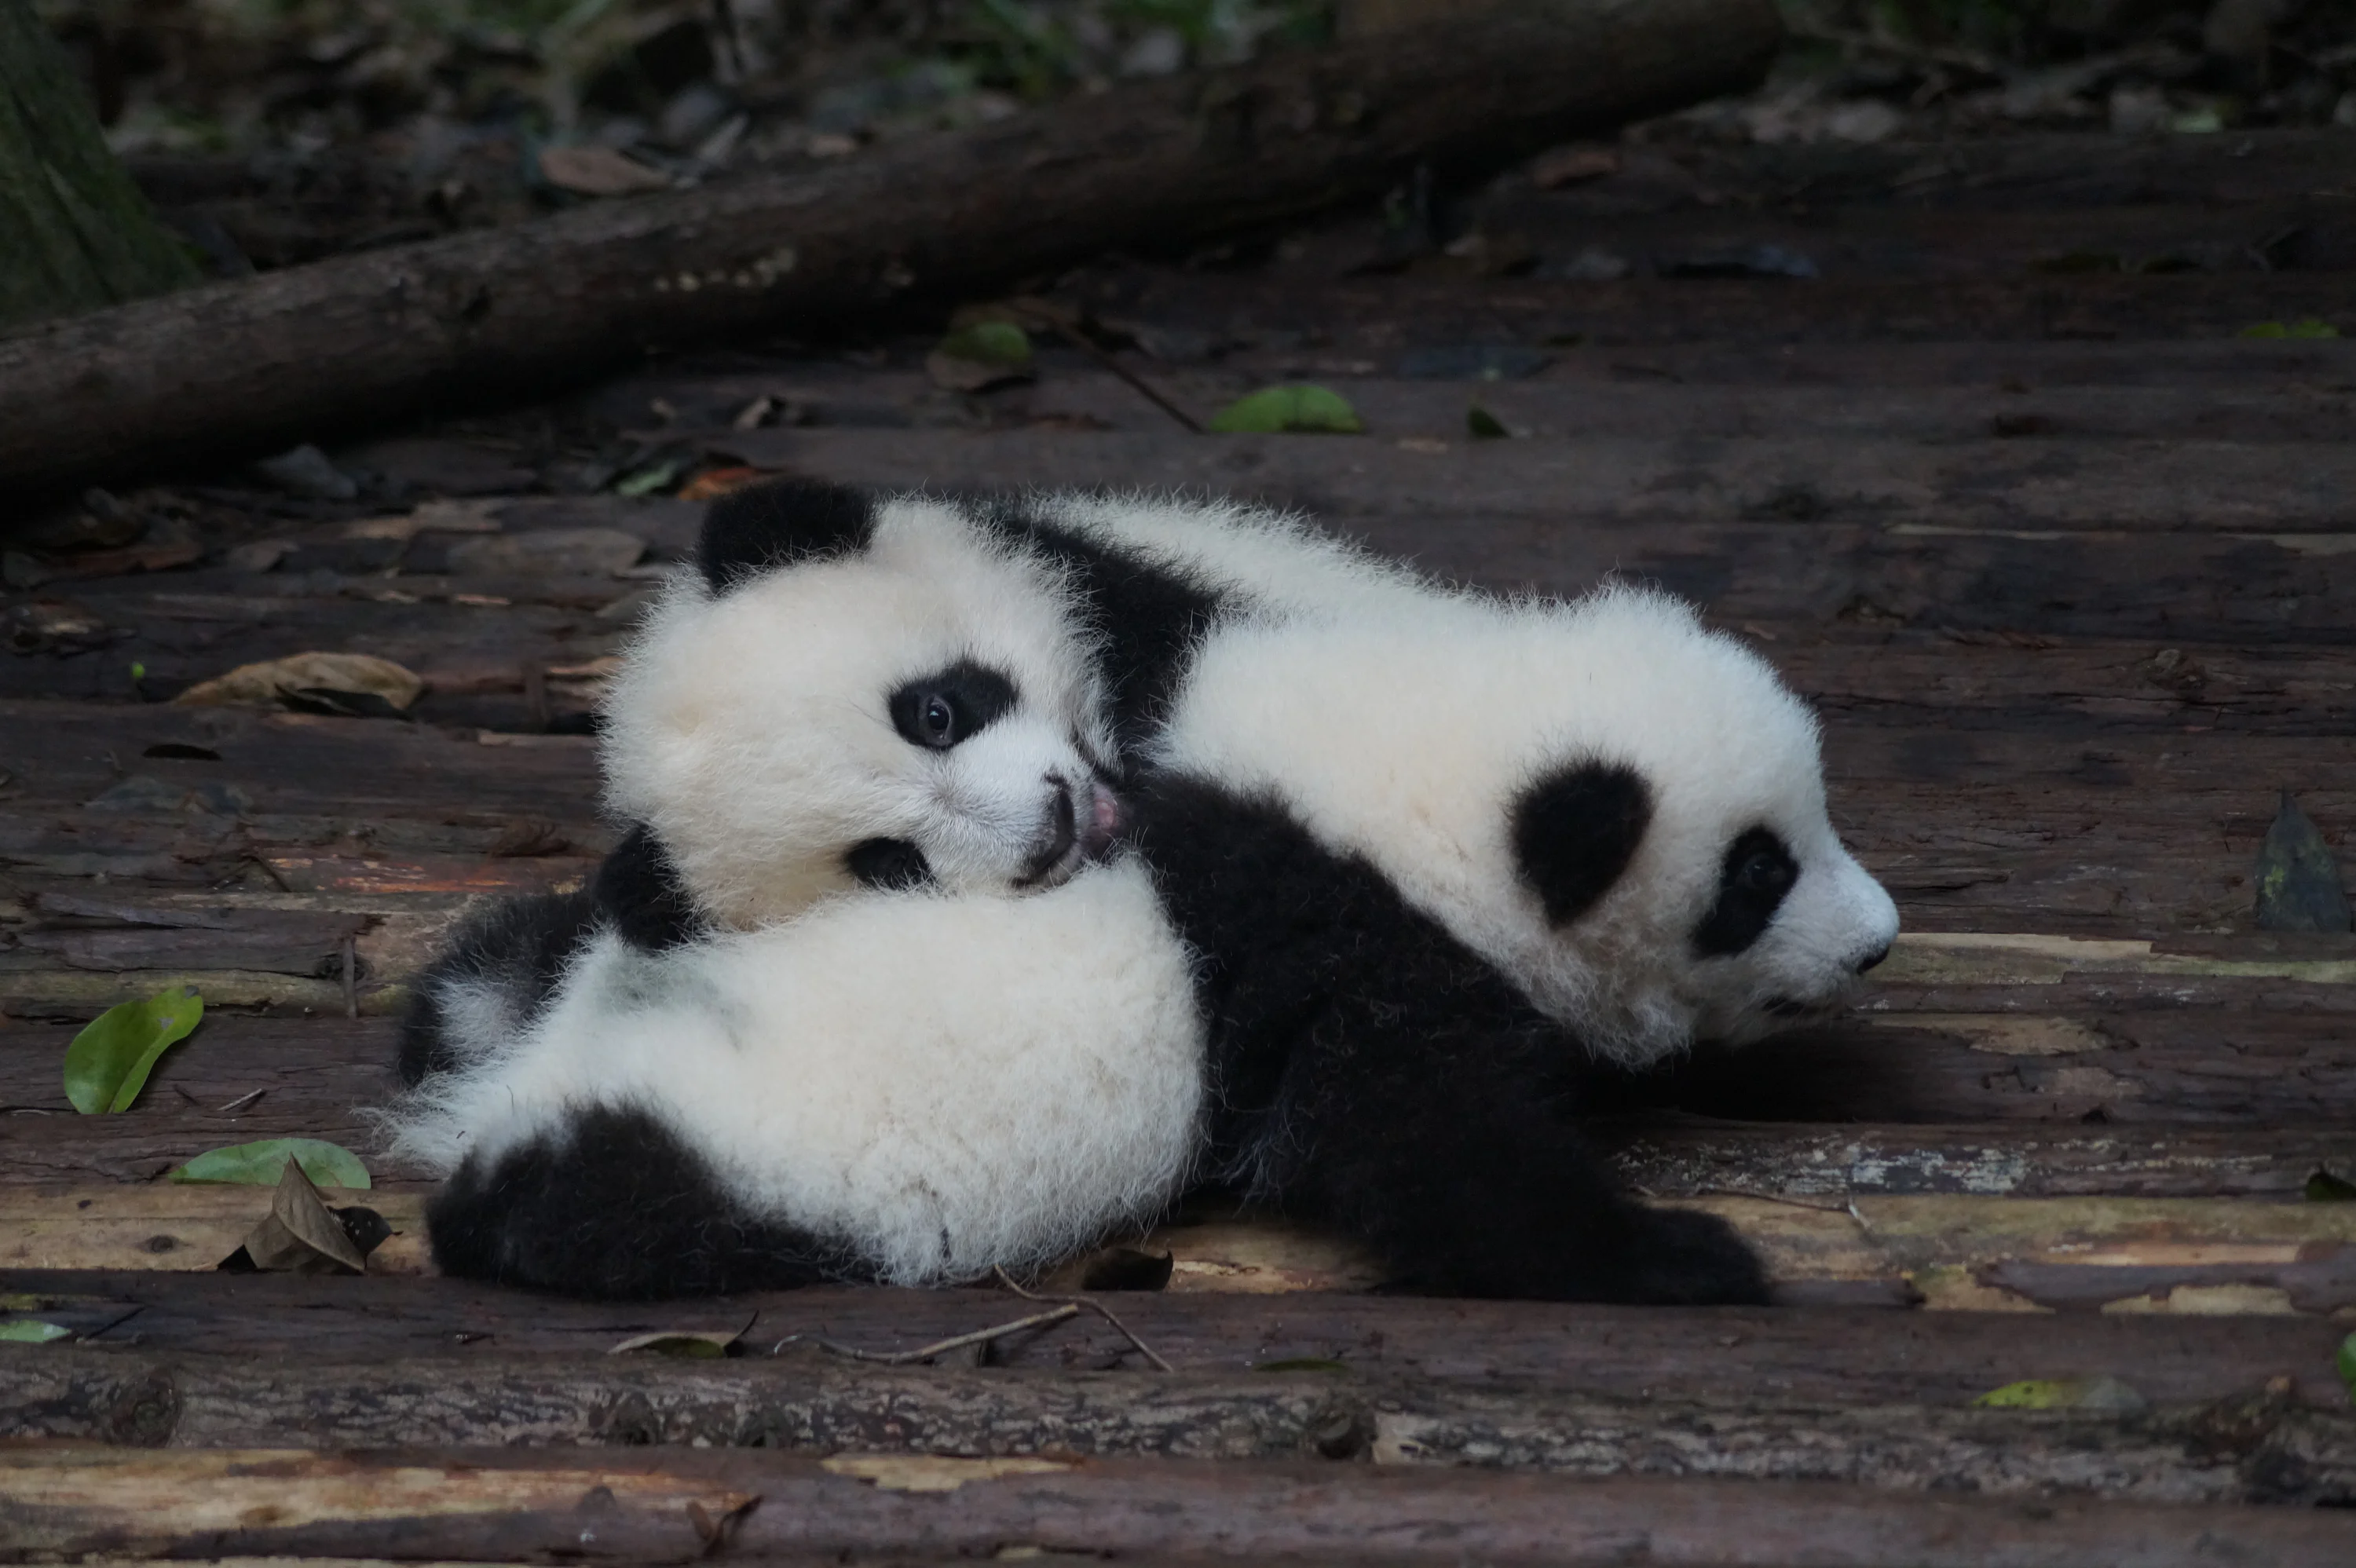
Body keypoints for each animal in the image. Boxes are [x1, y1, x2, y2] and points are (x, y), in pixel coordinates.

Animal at [392, 481, 1899, 1303]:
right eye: (1756, 879)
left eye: (941, 709)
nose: (1878, 943)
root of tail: (522, 1080)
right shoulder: (1351, 962)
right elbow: (1437, 1154)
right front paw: (1684, 1259)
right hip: (720, 1163)